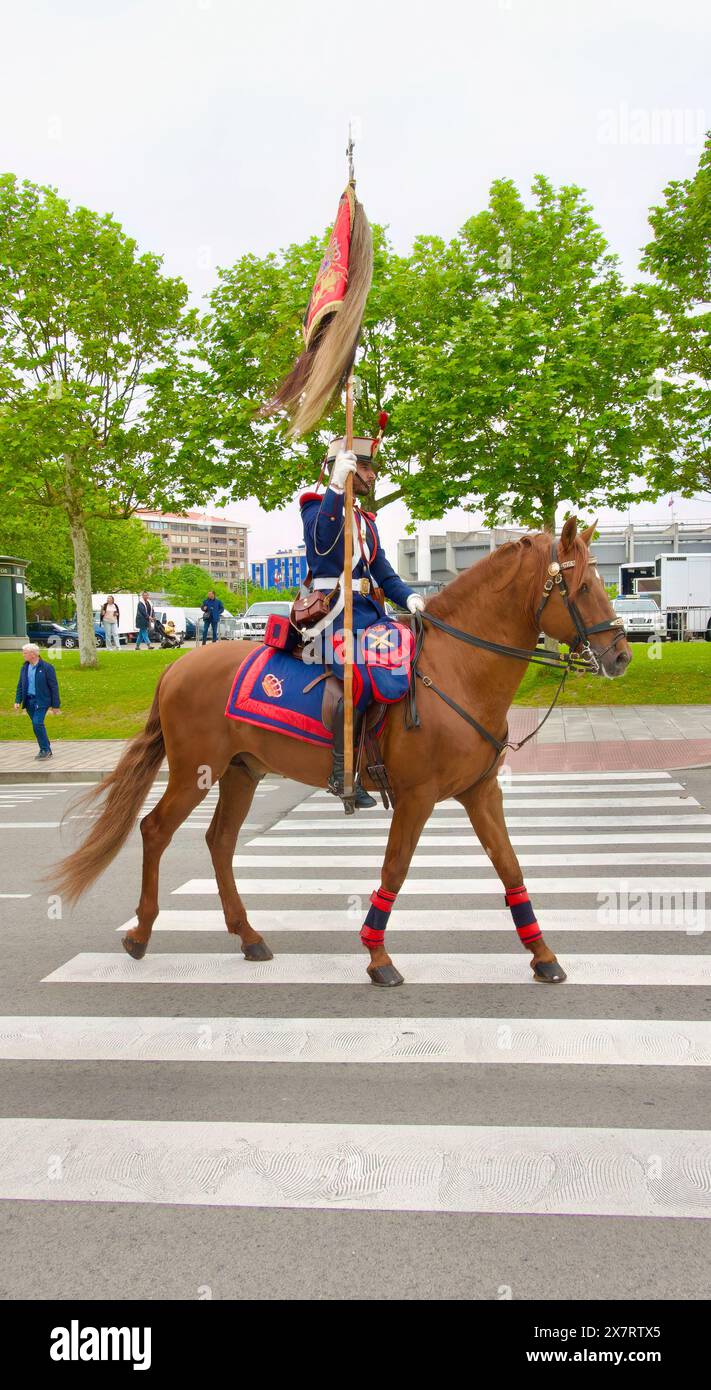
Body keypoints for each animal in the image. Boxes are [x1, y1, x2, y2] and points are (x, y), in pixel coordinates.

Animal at [56, 519, 633, 989]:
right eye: (583, 587)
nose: (621, 656)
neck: (456, 671)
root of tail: (178, 664)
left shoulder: (480, 792)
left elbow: (511, 868)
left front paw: (542, 954)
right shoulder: (416, 798)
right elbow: (394, 870)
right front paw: (378, 957)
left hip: (241, 773)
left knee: (219, 842)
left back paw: (247, 935)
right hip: (195, 773)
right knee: (155, 830)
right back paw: (141, 932)